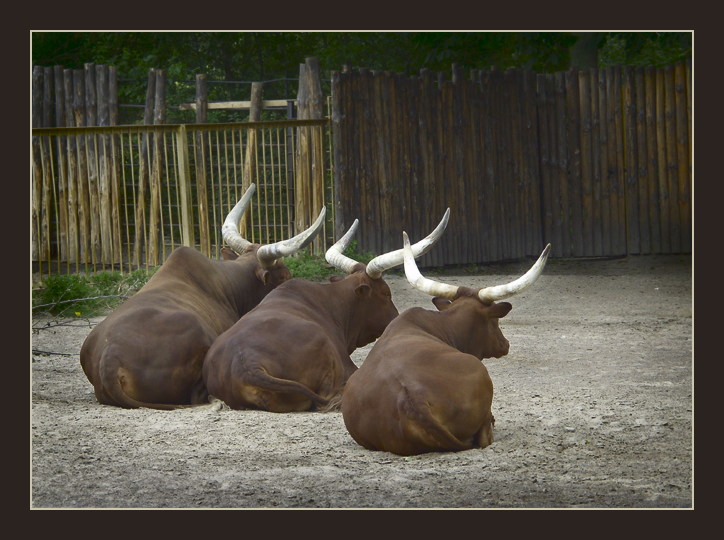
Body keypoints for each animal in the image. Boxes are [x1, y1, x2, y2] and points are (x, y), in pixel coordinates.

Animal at [342, 233, 552, 456]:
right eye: (494, 320)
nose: (505, 344)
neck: (440, 325)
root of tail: (414, 399)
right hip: (480, 374)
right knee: (485, 435)